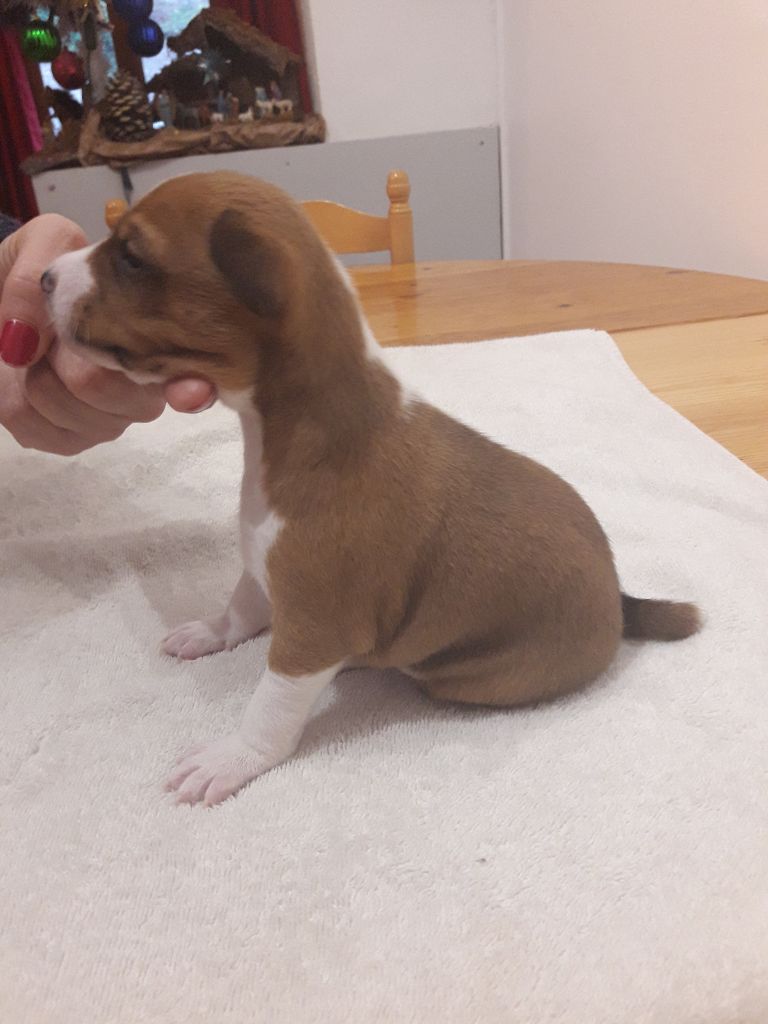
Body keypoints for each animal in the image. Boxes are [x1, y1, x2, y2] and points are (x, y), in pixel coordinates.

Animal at [43, 171, 700, 806]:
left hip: (465, 675)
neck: (287, 436)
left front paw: (232, 758)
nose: (44, 276)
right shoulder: (264, 565)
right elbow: (241, 606)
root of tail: (620, 599)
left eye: (131, 257)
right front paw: (210, 632)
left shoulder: (310, 624)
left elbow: (270, 706)